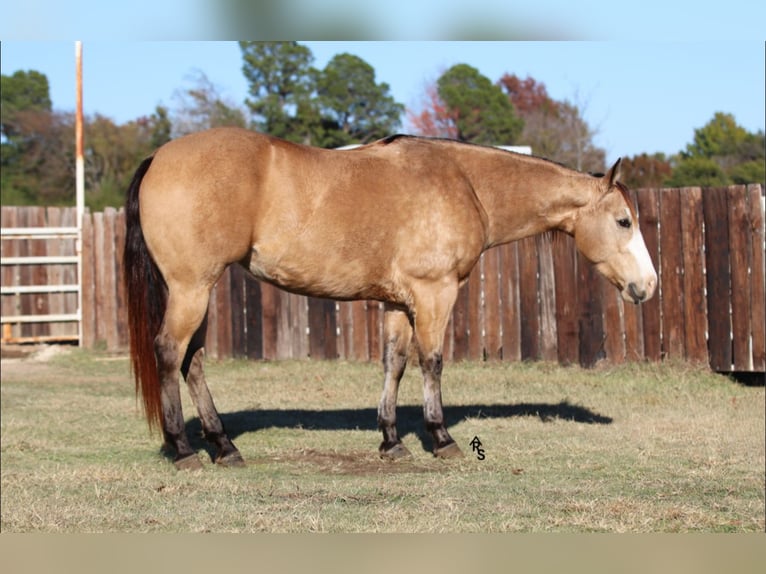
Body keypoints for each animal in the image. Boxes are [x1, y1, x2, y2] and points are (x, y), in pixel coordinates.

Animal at [124, 128, 660, 470]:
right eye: (623, 221)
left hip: (199, 291)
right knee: (170, 354)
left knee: (192, 361)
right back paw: (185, 450)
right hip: (192, 288)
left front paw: (391, 441)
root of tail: (158, 158)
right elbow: (432, 362)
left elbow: (394, 364)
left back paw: (224, 447)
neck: (465, 182)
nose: (648, 286)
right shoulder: (435, 292)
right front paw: (441, 438)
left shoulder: (399, 303)